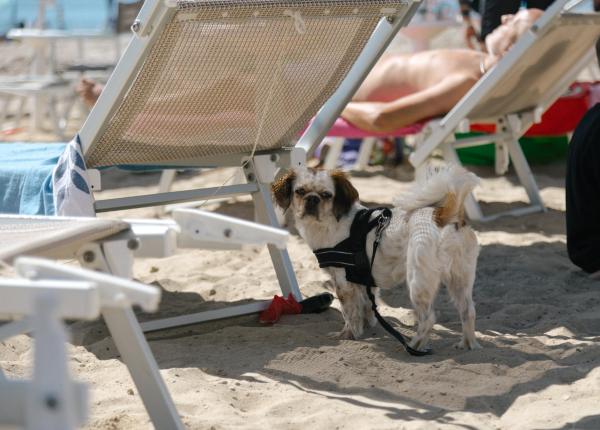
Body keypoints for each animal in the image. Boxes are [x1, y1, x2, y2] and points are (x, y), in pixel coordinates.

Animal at [274, 163, 482, 352]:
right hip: (459, 280)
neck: (330, 223)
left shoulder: (342, 282)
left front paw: (349, 334)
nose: (312, 199)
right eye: (299, 191)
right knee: (468, 311)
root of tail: (444, 216)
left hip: (418, 282)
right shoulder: (364, 279)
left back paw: (414, 345)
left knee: (428, 319)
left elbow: (349, 312)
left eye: (326, 195)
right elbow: (366, 305)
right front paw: (367, 326)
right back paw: (467, 344)